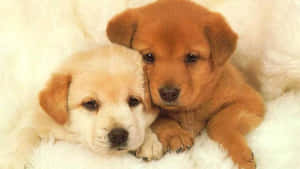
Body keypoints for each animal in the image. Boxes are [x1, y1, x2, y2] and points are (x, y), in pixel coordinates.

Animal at [0, 44, 162, 169]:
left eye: (134, 101)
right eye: (90, 104)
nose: (118, 135)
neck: (75, 135)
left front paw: (149, 141)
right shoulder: (34, 119)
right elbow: (23, 135)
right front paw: (14, 161)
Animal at [106, 0, 264, 168]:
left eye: (192, 57)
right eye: (148, 56)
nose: (168, 93)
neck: (188, 111)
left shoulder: (250, 100)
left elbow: (219, 121)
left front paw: (239, 156)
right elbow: (160, 118)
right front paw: (175, 134)